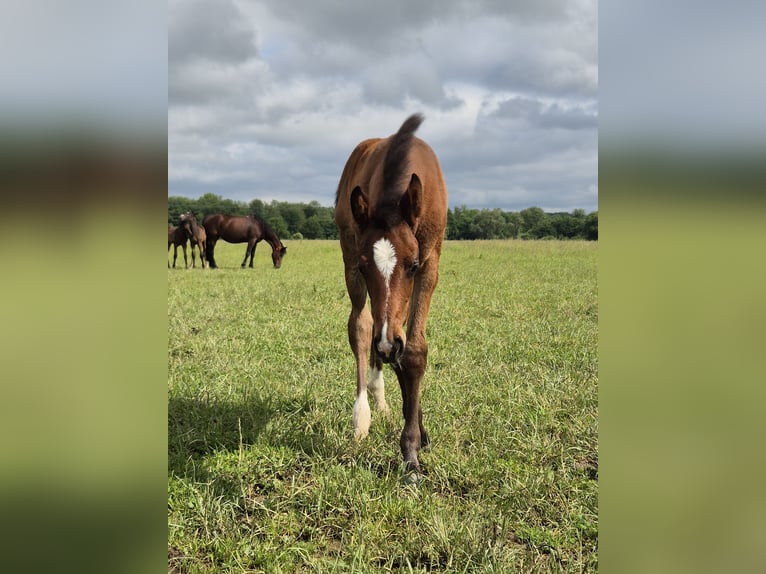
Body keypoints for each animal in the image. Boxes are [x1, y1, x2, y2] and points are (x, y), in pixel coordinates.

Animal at [336, 113, 450, 482]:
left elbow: (413, 350)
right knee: (361, 327)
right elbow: (377, 336)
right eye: (364, 264)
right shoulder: (356, 262)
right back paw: (364, 415)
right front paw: (411, 453)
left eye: (411, 265)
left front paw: (415, 443)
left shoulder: (430, 262)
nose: (388, 345)